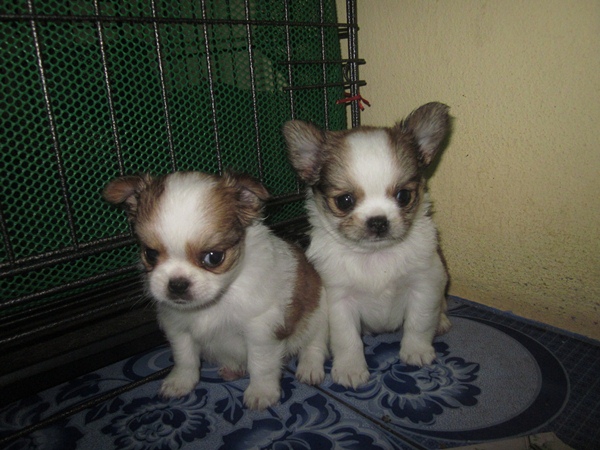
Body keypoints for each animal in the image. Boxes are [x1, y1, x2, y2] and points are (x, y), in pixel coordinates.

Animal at [103, 171, 328, 410]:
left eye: (213, 257)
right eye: (150, 254)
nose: (177, 284)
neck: (217, 301)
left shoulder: (261, 332)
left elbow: (261, 365)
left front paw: (261, 392)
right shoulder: (178, 327)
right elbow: (184, 358)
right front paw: (180, 382)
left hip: (318, 314)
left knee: (314, 343)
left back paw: (309, 368)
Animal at [283, 102, 452, 389]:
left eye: (403, 196)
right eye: (345, 201)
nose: (378, 221)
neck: (376, 256)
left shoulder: (424, 284)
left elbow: (418, 322)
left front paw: (416, 351)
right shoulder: (339, 300)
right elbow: (347, 339)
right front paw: (350, 369)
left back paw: (440, 320)